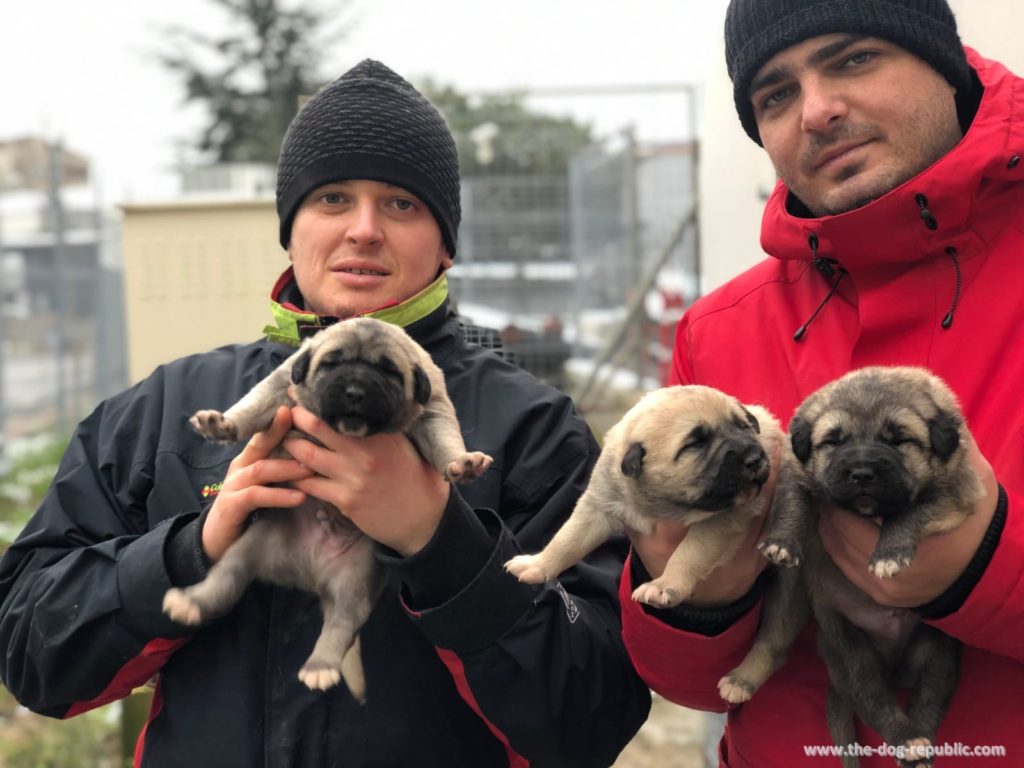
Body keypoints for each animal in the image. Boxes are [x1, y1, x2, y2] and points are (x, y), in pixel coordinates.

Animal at [505, 387, 782, 610]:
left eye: (744, 426)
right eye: (695, 444)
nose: (755, 457)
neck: (660, 503)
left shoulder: (719, 522)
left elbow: (688, 554)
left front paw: (664, 585)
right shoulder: (598, 506)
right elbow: (567, 540)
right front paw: (537, 564)